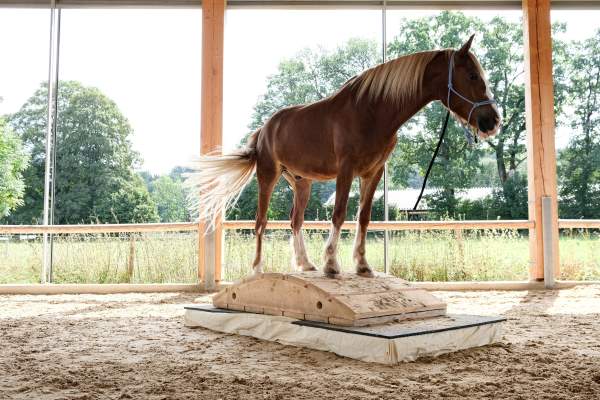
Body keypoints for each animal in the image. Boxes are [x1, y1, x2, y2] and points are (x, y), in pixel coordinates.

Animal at [188, 35, 502, 278]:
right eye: (472, 75)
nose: (493, 121)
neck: (373, 110)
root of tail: (264, 129)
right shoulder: (346, 170)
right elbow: (339, 213)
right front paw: (331, 264)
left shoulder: (373, 172)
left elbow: (363, 217)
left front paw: (362, 265)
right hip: (268, 176)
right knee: (260, 222)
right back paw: (257, 269)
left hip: (302, 183)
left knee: (295, 220)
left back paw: (305, 264)